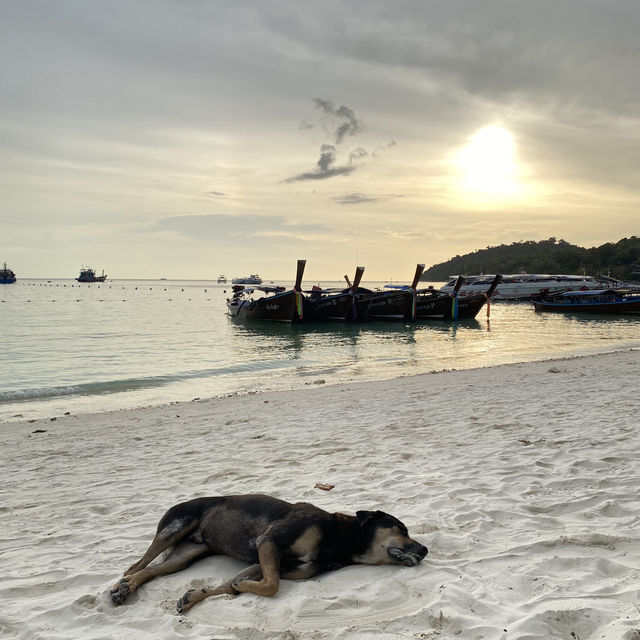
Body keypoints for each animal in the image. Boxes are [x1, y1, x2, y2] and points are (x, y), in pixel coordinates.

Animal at [110, 492, 430, 612]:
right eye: (401, 528)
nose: (426, 549)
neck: (339, 538)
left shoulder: (277, 564)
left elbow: (233, 584)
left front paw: (196, 596)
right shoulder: (268, 542)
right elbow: (272, 585)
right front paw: (239, 587)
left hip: (186, 555)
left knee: (152, 570)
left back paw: (128, 587)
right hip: (175, 526)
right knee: (135, 566)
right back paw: (122, 586)